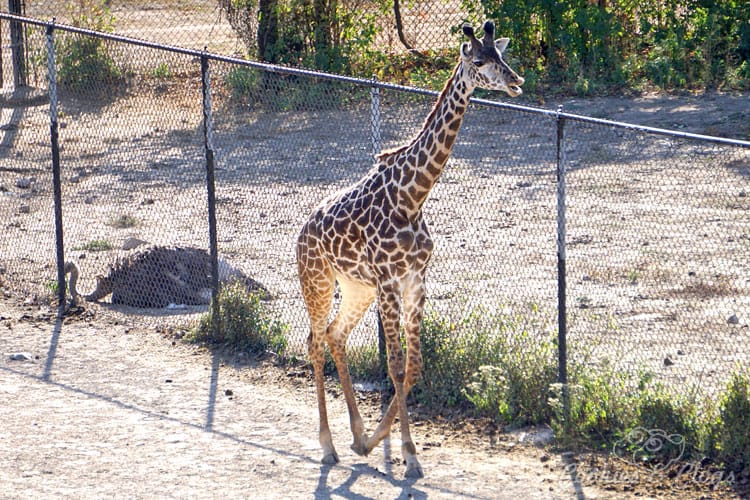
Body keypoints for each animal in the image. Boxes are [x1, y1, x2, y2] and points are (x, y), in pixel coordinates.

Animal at [296, 21, 524, 478]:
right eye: (479, 61)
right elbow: (395, 367)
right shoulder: (389, 281)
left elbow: (413, 367)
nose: (516, 82)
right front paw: (409, 454)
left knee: (334, 335)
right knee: (314, 341)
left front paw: (377, 442)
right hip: (318, 281)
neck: (411, 197)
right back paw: (327, 446)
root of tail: (299, 233)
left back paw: (356, 435)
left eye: (503, 56)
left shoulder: (415, 281)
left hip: (356, 288)